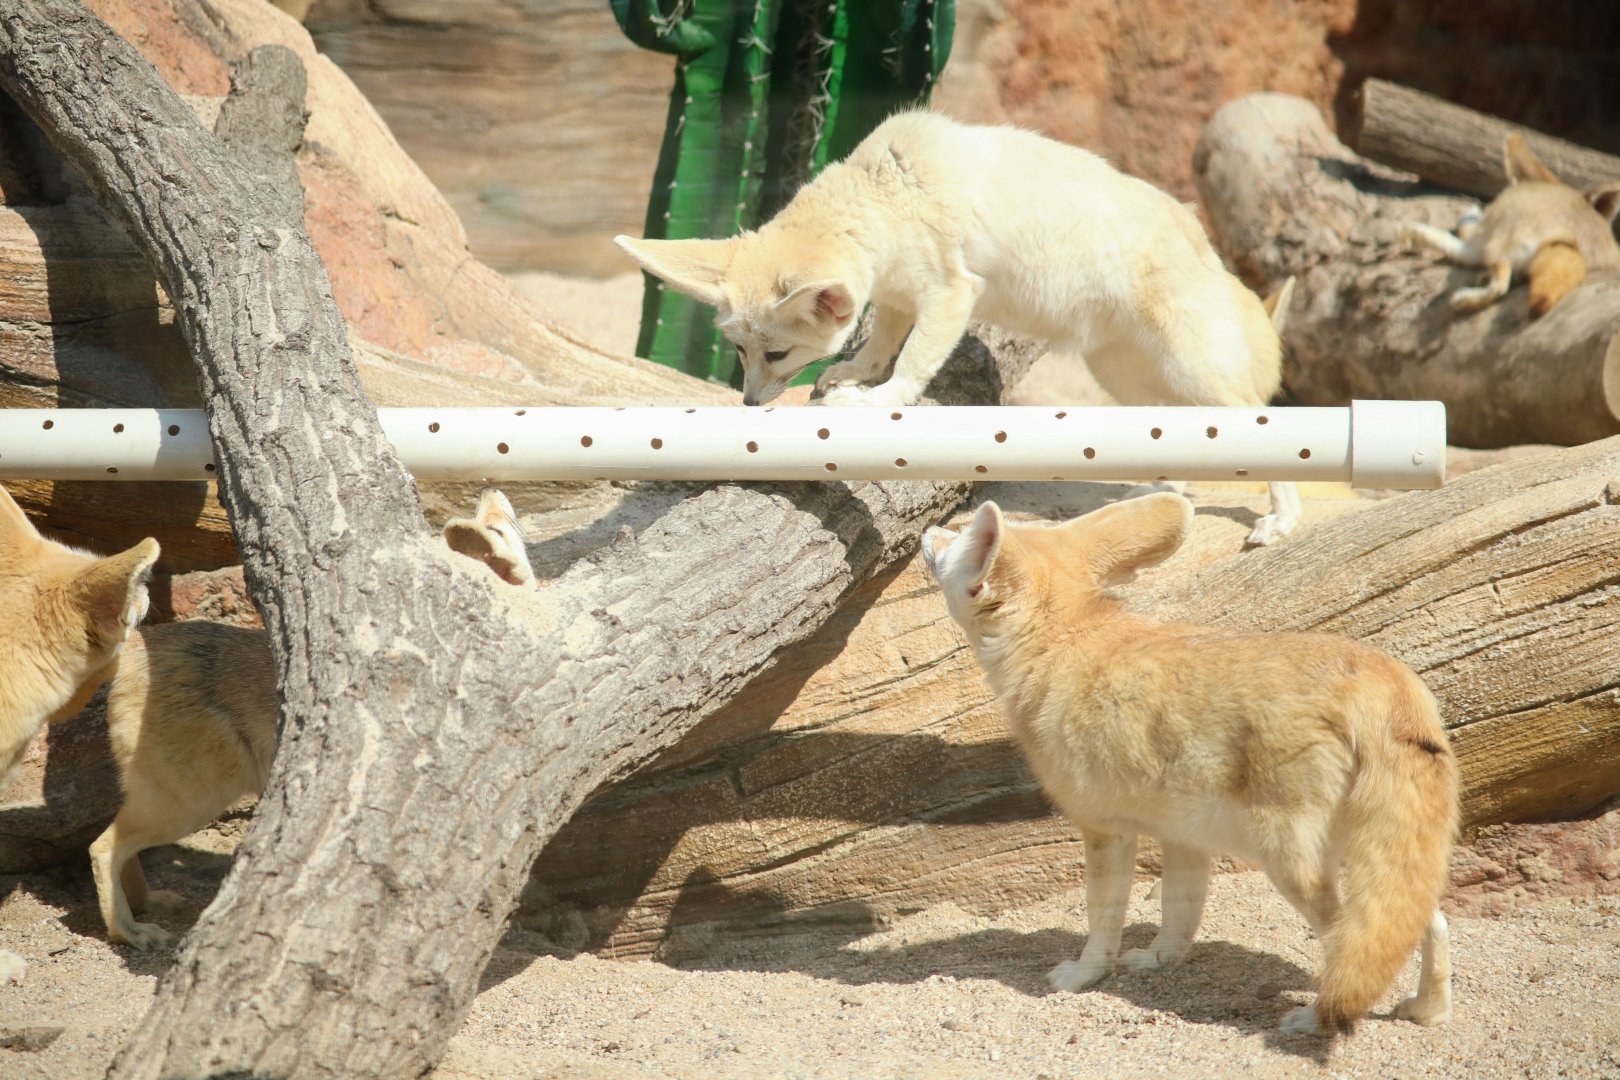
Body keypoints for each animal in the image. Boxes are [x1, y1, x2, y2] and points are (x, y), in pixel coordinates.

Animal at [85, 488, 538, 949]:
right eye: (496, 529)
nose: (491, 490)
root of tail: (136, 646)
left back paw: (145, 903)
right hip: (188, 804)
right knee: (102, 847)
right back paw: (129, 930)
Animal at [615, 111, 1303, 546]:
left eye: (778, 354)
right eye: (738, 351)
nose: (751, 405)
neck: (885, 192)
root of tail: (1202, 238)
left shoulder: (951, 293)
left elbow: (913, 364)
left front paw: (877, 403)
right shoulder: (896, 292)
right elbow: (880, 347)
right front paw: (852, 374)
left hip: (1191, 368)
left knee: (1260, 420)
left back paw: (1281, 517)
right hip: (1125, 376)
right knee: (1183, 427)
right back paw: (1168, 488)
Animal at [921, 493, 1458, 1036]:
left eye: (958, 539)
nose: (928, 530)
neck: (1066, 637)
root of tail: (1378, 678)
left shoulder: (1105, 830)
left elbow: (1102, 917)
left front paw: (1086, 974)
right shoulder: (1182, 834)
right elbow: (1179, 911)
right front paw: (1162, 960)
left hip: (1289, 859)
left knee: (1347, 942)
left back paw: (1315, 1018)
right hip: (1376, 850)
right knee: (1425, 922)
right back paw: (1429, 1008)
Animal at [1400, 134, 1620, 317]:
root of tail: (1571, 239)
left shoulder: (1478, 241)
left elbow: (1452, 233)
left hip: (1497, 247)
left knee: (1500, 284)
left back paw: (1464, 299)